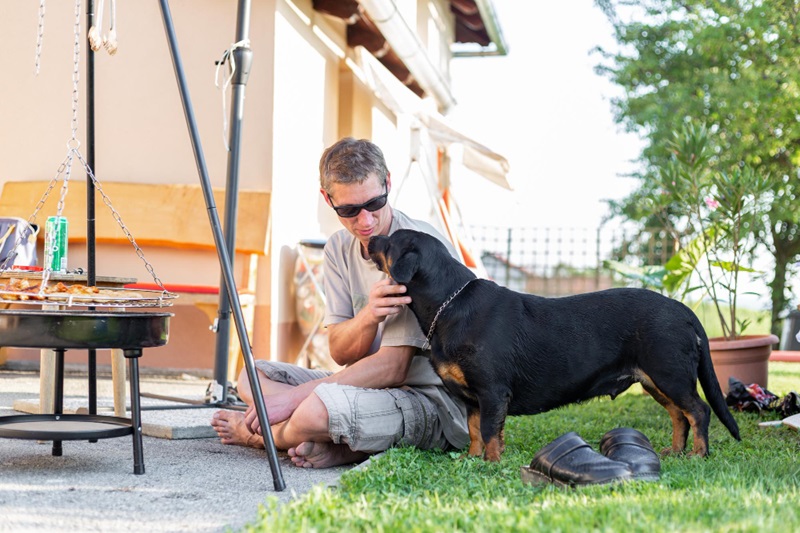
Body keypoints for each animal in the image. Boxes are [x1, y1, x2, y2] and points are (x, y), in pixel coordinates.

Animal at [368, 229, 744, 462]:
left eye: (390, 241)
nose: (371, 237)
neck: (450, 304)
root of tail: (683, 310)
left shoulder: (492, 391)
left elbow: (489, 430)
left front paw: (490, 462)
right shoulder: (475, 399)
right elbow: (476, 430)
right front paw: (473, 458)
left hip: (670, 374)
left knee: (698, 411)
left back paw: (697, 454)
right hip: (654, 380)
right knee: (679, 416)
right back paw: (675, 452)